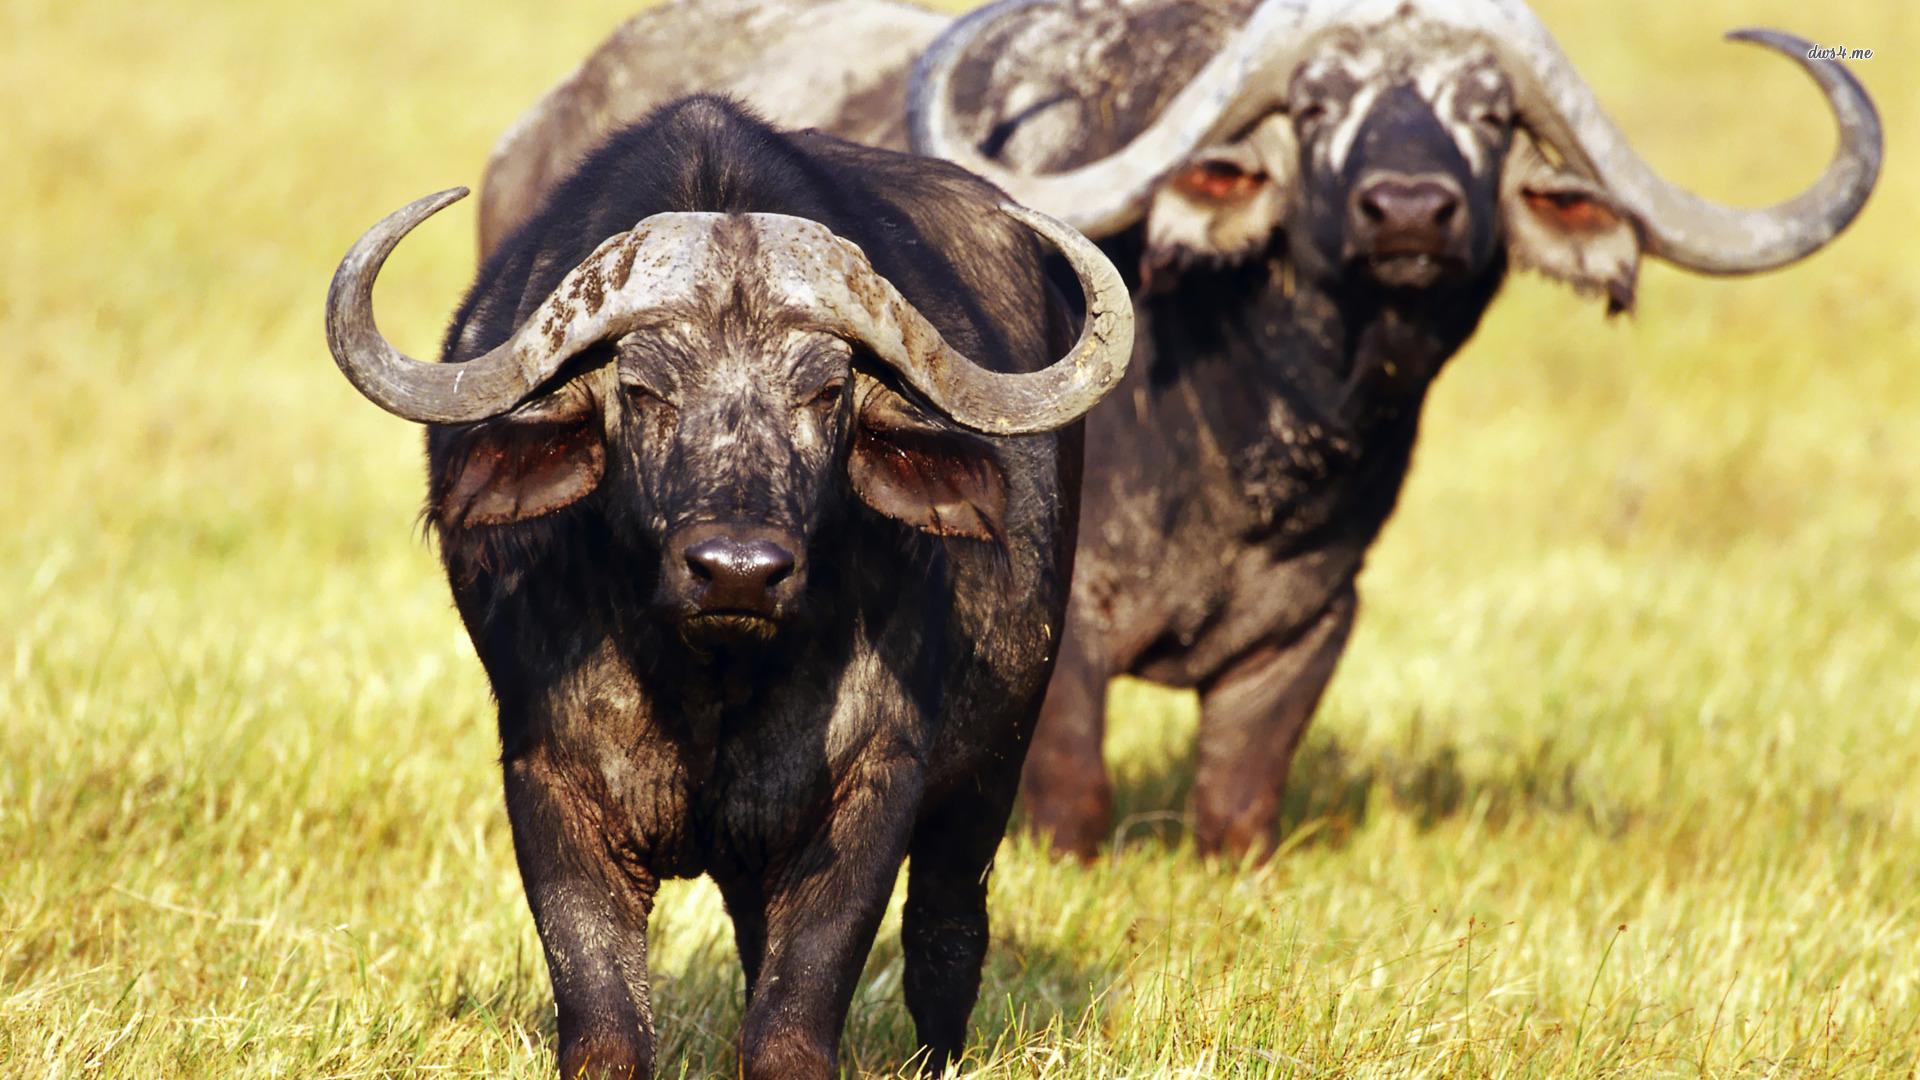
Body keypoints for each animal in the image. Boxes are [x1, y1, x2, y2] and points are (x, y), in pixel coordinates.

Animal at [324, 97, 1132, 1078]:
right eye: (642, 388)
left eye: (827, 392)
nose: (737, 571)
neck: (708, 678)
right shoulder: (548, 778)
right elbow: (606, 1024)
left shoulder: (875, 781)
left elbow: (794, 1018)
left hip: (995, 767)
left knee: (946, 935)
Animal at [477, 0, 1880, 862]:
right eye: (1315, 106)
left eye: (1488, 112)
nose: (1410, 209)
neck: (1244, 437)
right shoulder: (1063, 646)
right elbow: (1074, 803)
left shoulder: (1308, 631)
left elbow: (1236, 811)